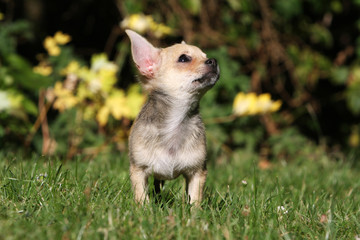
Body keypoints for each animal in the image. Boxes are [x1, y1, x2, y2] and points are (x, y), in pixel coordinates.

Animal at [125, 30, 218, 206]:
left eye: (205, 55)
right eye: (184, 58)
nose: (214, 60)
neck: (176, 121)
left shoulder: (197, 172)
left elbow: (194, 199)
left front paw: (194, 212)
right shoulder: (138, 171)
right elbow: (141, 197)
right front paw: (144, 210)